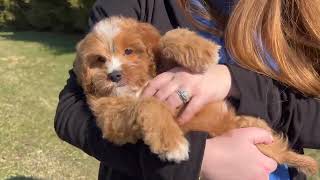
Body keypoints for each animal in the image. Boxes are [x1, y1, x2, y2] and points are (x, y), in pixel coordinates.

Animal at [74, 16, 318, 174]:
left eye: (129, 51)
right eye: (99, 60)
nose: (114, 75)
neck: (139, 86)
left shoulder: (164, 67)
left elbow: (167, 38)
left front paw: (203, 51)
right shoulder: (111, 119)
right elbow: (149, 104)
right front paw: (171, 143)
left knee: (279, 149)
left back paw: (306, 162)